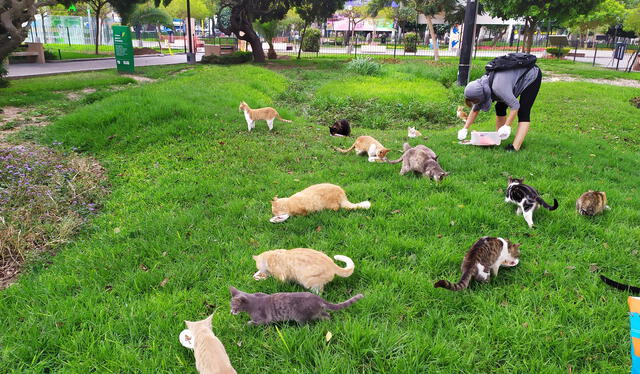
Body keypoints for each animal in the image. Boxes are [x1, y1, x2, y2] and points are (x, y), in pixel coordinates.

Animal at [230, 286, 362, 324]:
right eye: (230, 306)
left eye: (234, 307)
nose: (231, 312)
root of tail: (317, 298)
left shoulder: (264, 320)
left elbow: (255, 323)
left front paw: (248, 323)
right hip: (318, 311)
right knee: (326, 314)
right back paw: (327, 322)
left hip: (300, 316)